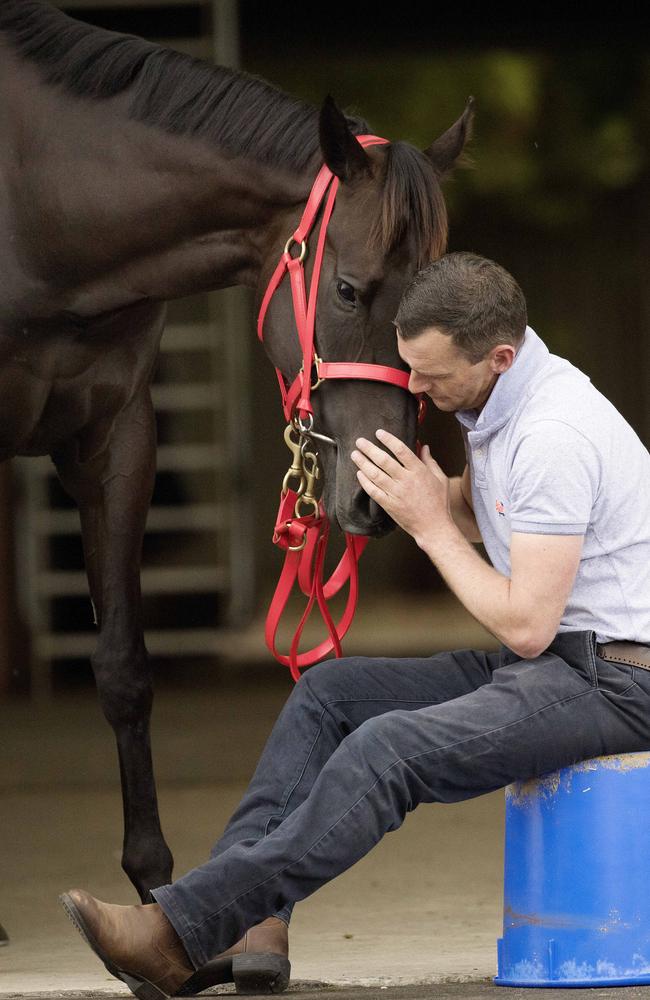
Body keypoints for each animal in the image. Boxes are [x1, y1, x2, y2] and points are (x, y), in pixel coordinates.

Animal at [0, 0, 470, 908]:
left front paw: (153, 885)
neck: (41, 203)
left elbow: (123, 667)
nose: (375, 500)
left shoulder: (116, 441)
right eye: (348, 290)